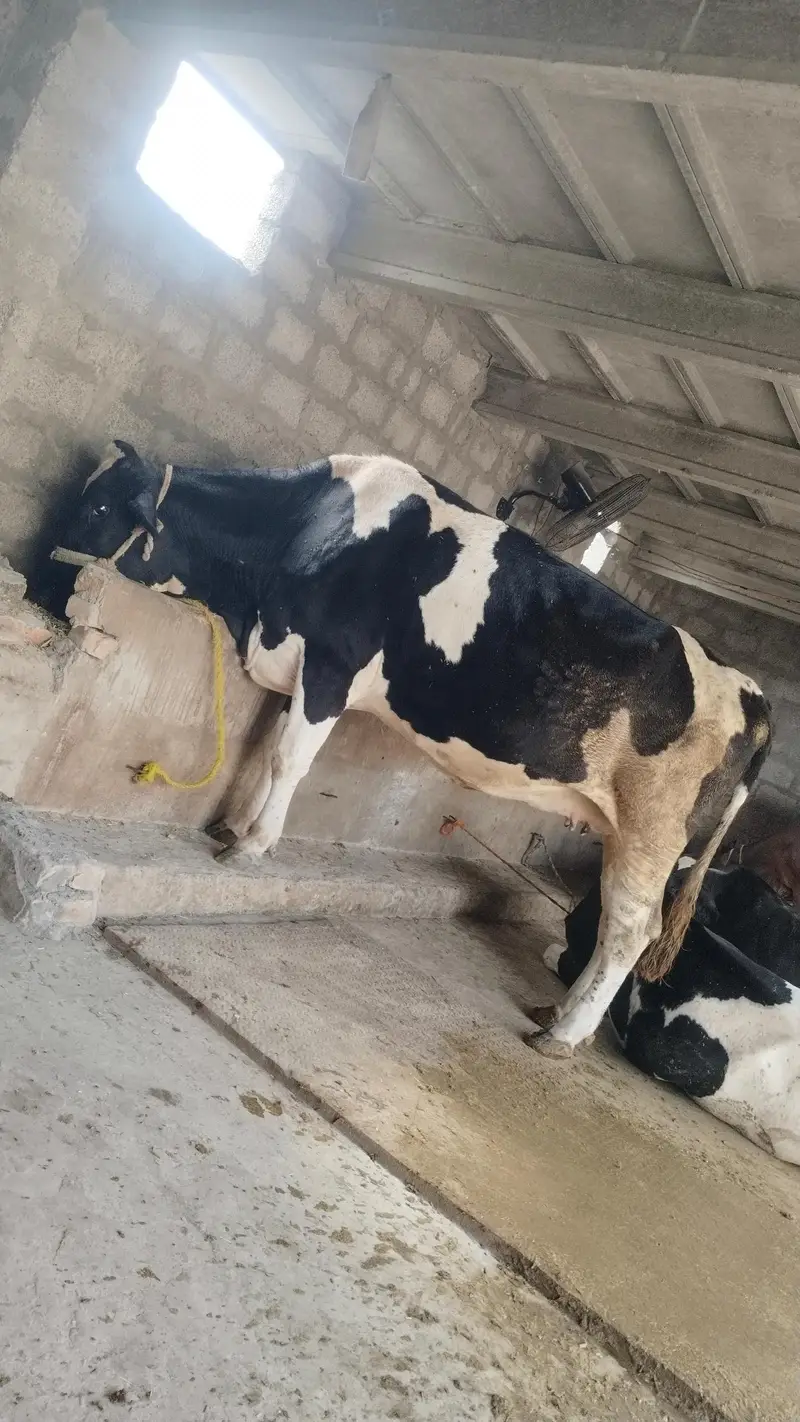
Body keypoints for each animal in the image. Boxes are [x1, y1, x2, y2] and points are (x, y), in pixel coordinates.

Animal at [57, 442, 772, 1058]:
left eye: (98, 510)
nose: (48, 568)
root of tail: (754, 694)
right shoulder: (301, 665)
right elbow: (268, 750)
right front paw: (234, 824)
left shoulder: (332, 665)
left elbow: (290, 759)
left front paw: (251, 845)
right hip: (628, 834)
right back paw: (557, 1011)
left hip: (653, 832)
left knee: (630, 929)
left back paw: (562, 1036)